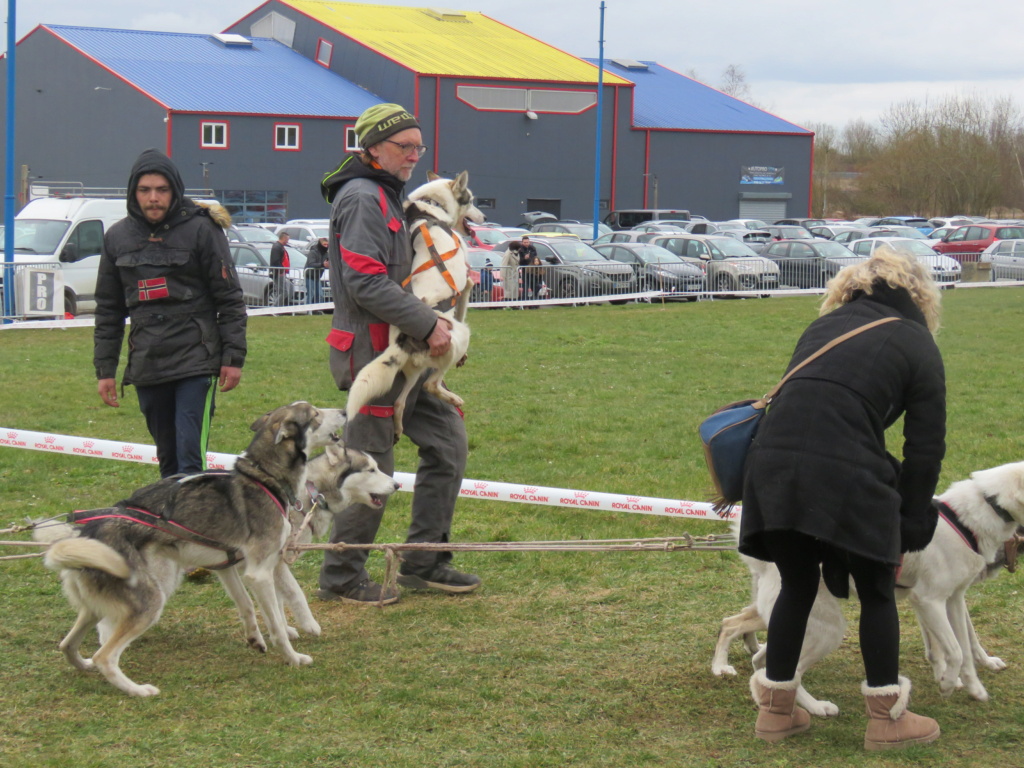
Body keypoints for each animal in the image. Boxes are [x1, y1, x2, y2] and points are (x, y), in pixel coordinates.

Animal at [344, 174, 483, 438]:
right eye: (471, 200)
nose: (485, 218)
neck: (431, 210)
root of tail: (401, 339)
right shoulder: (466, 285)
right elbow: (463, 307)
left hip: (412, 370)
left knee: (399, 402)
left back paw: (399, 427)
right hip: (459, 337)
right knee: (430, 385)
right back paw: (453, 398)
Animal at [712, 460, 1024, 720]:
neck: (982, 509)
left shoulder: (953, 600)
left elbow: (966, 648)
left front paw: (975, 688)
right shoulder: (929, 601)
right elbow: (956, 651)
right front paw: (947, 683)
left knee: (759, 657)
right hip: (825, 629)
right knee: (781, 666)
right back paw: (816, 707)